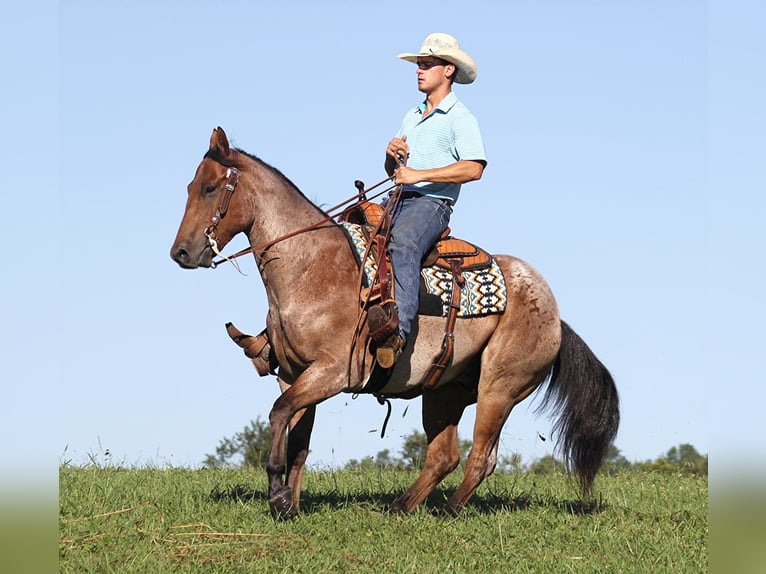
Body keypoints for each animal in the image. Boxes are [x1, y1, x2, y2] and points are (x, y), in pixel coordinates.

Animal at [171, 128, 620, 520]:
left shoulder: (333, 372)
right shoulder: (295, 375)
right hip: (444, 392)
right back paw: (400, 507)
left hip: (500, 387)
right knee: (444, 456)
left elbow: (279, 414)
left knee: (481, 457)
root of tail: (556, 317)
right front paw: (289, 503)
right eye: (190, 186)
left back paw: (448, 511)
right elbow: (297, 437)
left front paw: (278, 495)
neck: (311, 266)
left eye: (210, 188)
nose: (181, 253)